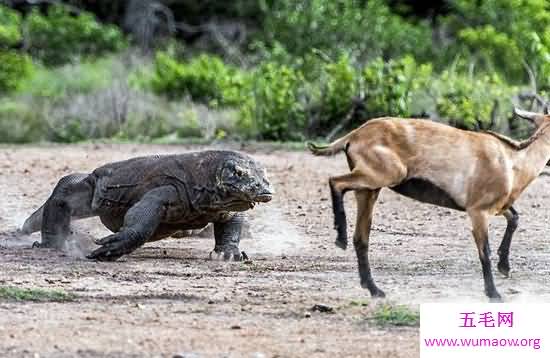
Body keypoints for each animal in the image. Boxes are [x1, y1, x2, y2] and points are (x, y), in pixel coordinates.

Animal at [308, 109, 550, 302]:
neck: (511, 162)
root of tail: (354, 135)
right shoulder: (478, 211)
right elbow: (485, 252)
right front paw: (494, 294)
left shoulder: (497, 207)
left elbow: (515, 218)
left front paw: (505, 266)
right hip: (385, 175)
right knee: (336, 182)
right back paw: (340, 238)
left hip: (369, 190)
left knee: (361, 238)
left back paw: (374, 289)